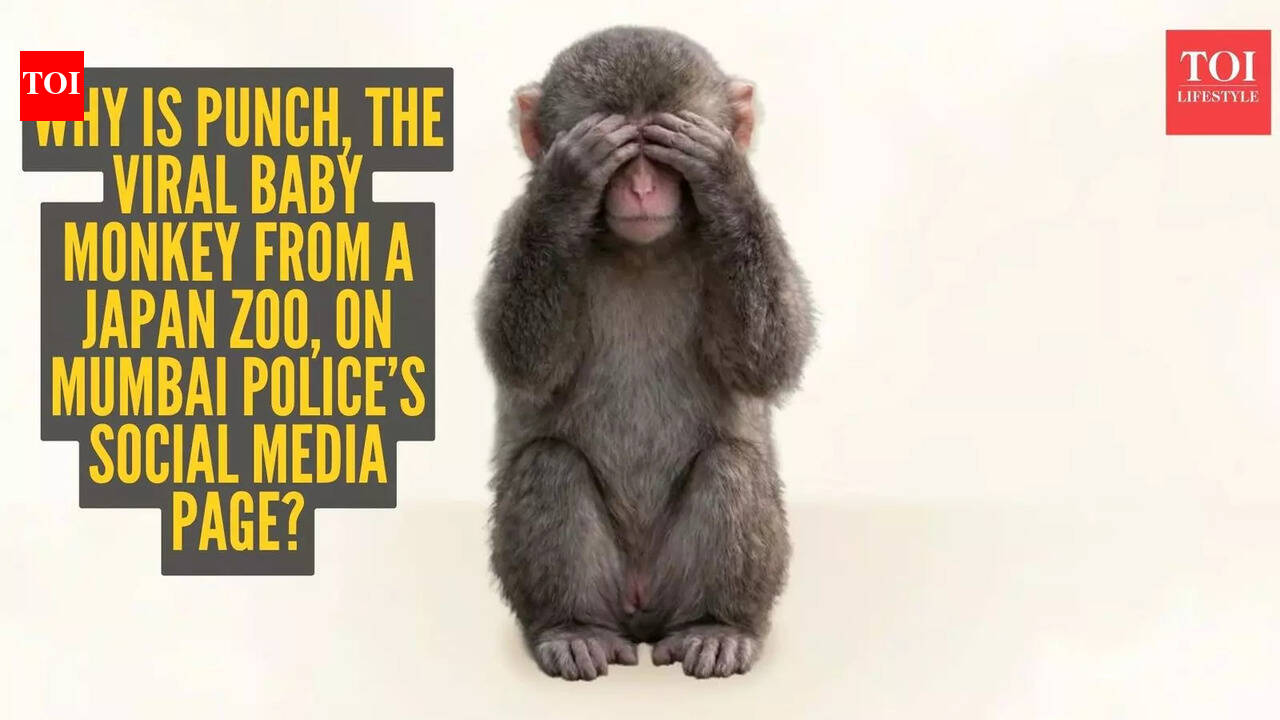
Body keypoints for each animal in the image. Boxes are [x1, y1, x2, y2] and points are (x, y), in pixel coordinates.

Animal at [478, 26, 814, 680]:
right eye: (619, 152)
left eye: (660, 153)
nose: (639, 187)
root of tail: (639, 611)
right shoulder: (512, 226)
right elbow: (522, 358)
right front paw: (567, 184)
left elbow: (770, 357)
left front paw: (723, 174)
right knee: (549, 463)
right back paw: (572, 627)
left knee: (731, 463)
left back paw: (718, 625)